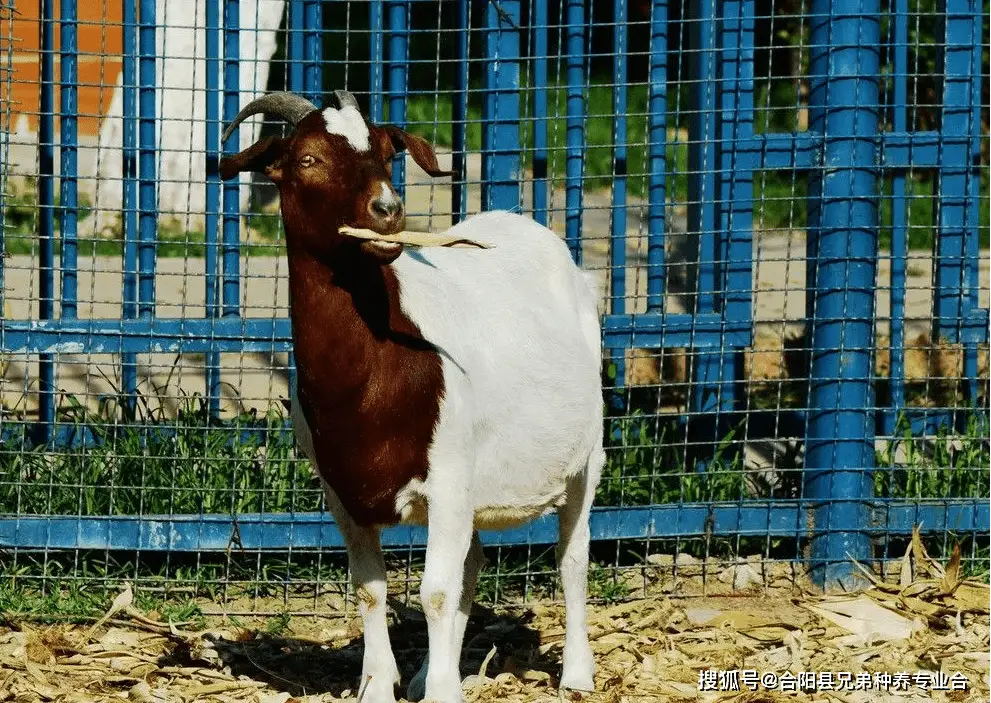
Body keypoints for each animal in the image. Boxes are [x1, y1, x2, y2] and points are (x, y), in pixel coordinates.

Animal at [218, 91, 604, 700]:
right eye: (307, 159)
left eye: (384, 152)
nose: (387, 209)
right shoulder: (342, 493)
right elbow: (372, 589)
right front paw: (380, 683)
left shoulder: (447, 479)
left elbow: (435, 592)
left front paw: (444, 691)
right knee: (472, 562)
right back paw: (427, 671)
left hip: (586, 456)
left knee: (572, 554)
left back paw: (577, 674)